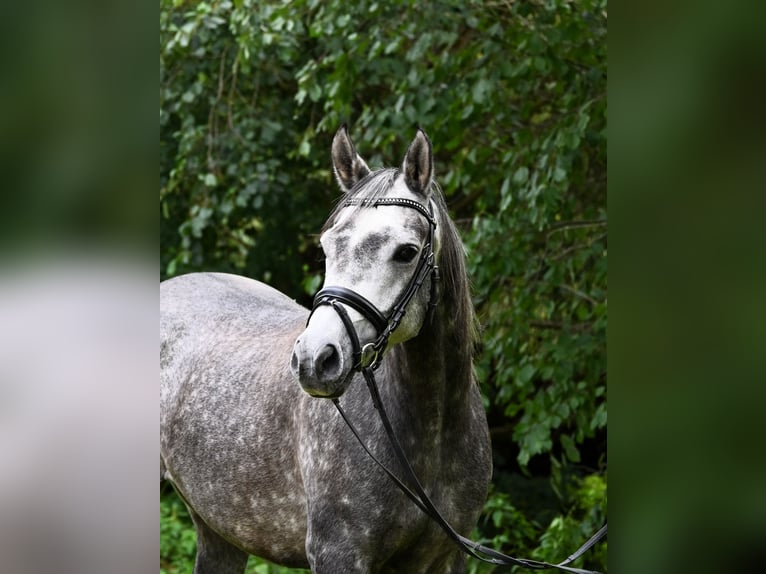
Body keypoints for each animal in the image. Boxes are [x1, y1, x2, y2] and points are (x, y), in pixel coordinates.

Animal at [160, 126, 492, 573]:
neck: (431, 431)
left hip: (218, 529)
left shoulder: (448, 556)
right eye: (326, 248)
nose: (315, 360)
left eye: (406, 252)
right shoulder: (338, 553)